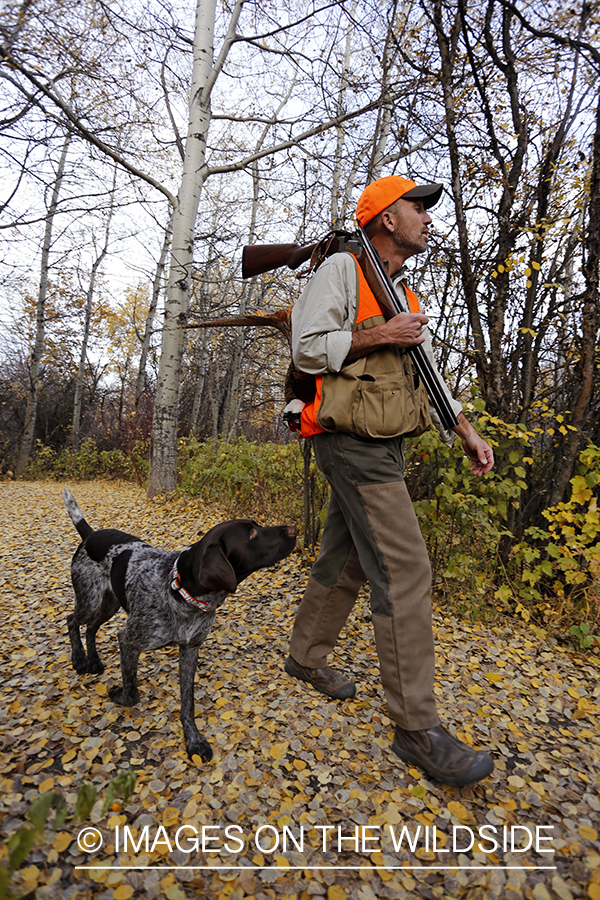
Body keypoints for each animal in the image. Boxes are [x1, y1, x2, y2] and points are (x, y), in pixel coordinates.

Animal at [62, 492, 296, 760]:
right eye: (251, 534)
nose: (294, 528)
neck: (181, 592)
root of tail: (90, 535)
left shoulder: (190, 649)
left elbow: (188, 701)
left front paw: (193, 739)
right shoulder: (129, 640)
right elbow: (132, 693)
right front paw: (118, 695)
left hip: (110, 603)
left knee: (91, 627)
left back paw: (93, 660)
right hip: (89, 599)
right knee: (72, 620)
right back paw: (79, 659)